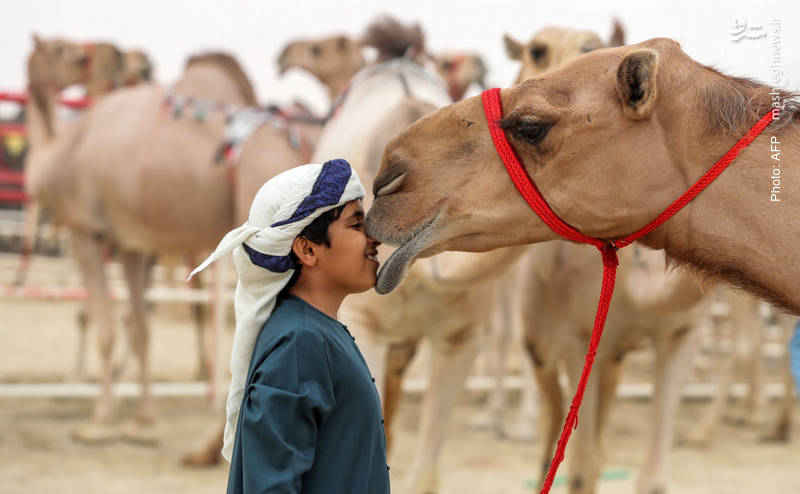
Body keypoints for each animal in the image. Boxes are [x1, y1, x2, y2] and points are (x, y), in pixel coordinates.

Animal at [25, 48, 324, 444]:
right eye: (64, 53)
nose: (85, 65)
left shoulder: (84, 230)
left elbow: (107, 331)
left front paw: (99, 422)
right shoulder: (132, 244)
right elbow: (138, 327)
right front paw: (142, 420)